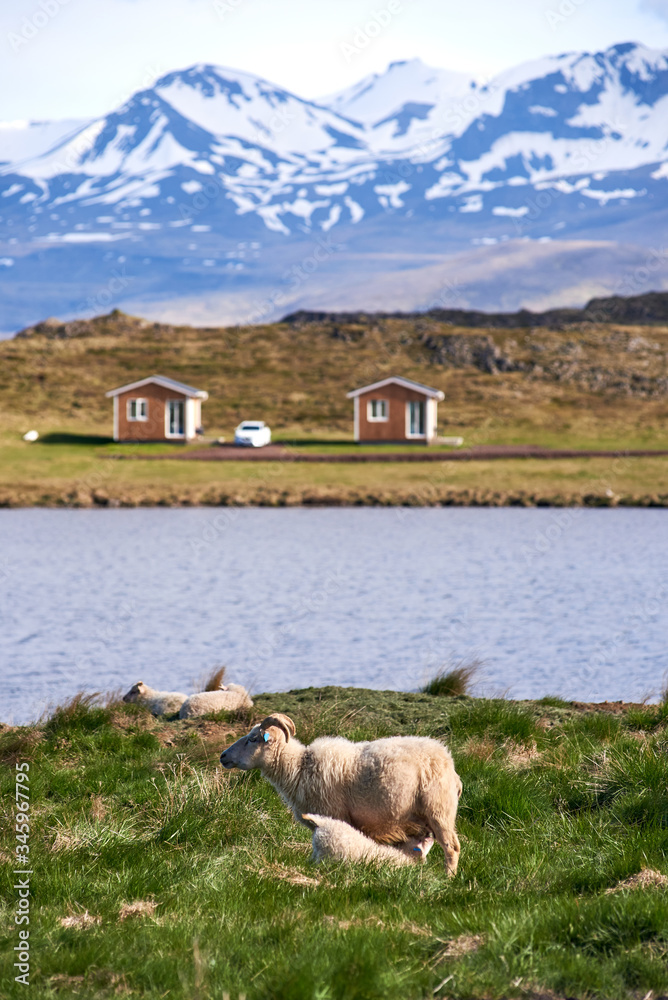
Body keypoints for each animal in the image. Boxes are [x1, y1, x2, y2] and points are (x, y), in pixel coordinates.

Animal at [301, 813, 434, 867]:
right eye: (420, 840)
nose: (430, 836)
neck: (404, 854)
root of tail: (323, 824)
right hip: (327, 853)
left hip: (318, 851)